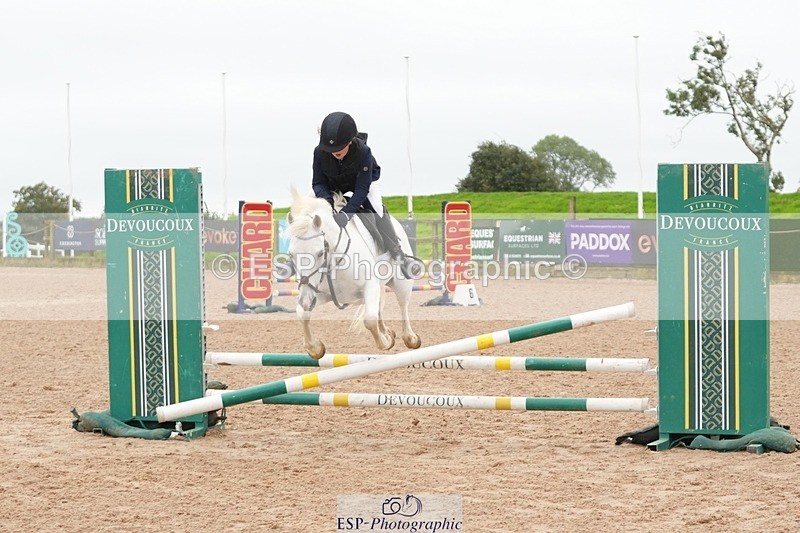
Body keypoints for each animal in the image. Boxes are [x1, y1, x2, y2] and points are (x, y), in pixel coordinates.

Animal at [286, 190, 422, 359]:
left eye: (320, 253)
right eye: (291, 255)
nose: (305, 301)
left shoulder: (369, 286)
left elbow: (369, 320)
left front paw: (385, 341)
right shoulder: (319, 293)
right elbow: (302, 314)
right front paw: (315, 348)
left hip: (401, 283)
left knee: (402, 304)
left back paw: (410, 338)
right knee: (378, 307)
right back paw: (387, 331)